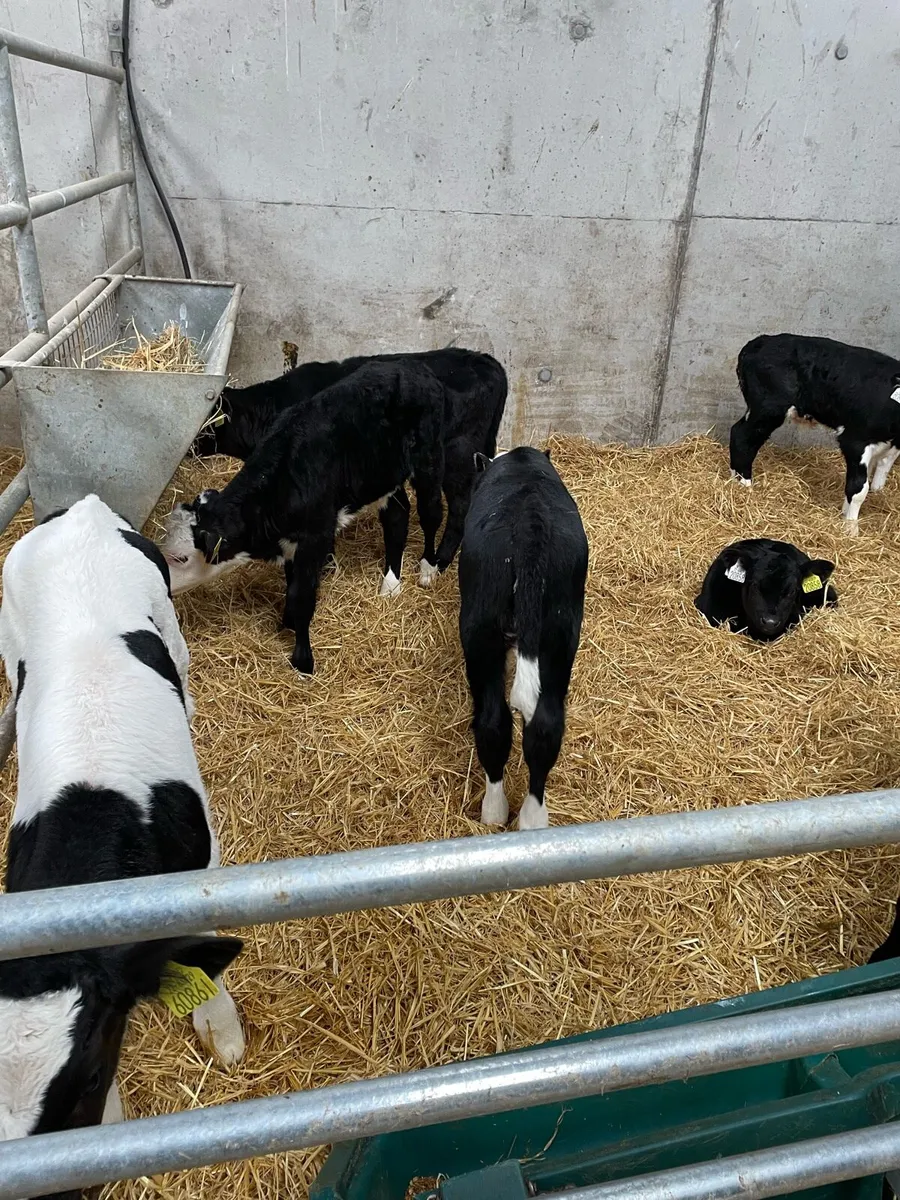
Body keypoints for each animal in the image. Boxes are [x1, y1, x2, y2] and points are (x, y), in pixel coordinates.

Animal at [162, 359, 447, 674]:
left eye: (181, 558)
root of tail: (411, 365)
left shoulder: (316, 537)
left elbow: (302, 596)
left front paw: (303, 661)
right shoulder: (291, 544)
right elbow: (291, 586)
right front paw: (285, 623)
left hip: (429, 459)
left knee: (431, 513)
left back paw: (428, 568)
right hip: (384, 477)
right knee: (397, 517)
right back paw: (390, 584)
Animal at [458, 447, 588, 831]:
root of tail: (530, 526)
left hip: (479, 630)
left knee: (492, 722)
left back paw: (493, 811)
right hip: (560, 635)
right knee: (543, 727)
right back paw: (530, 818)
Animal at [729, 334, 900, 525]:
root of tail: (760, 341)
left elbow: (878, 475)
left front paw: (844, 513)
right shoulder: (854, 439)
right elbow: (858, 488)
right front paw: (850, 527)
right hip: (768, 408)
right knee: (742, 437)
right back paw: (744, 485)